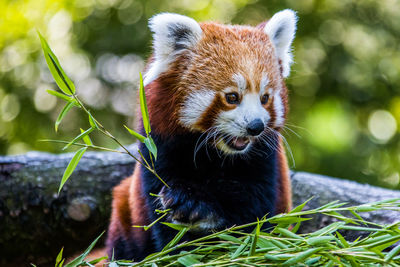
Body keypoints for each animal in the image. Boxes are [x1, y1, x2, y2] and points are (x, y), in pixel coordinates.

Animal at [103, 9, 296, 262]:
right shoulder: (159, 147)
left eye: (265, 98)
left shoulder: (265, 160)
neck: (217, 153)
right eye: (232, 97)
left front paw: (200, 209)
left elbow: (250, 215)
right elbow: (163, 219)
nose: (256, 126)